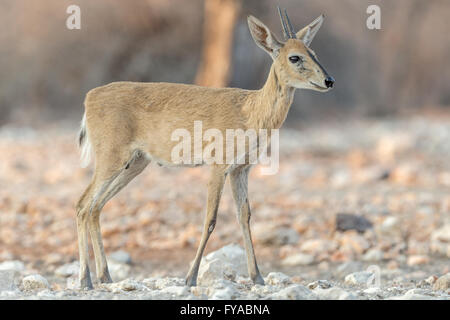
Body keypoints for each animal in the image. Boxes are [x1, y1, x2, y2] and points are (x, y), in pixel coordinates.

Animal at [76, 7, 334, 288]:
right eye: (294, 56)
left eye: (314, 52)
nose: (329, 80)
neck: (250, 111)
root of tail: (89, 97)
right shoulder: (218, 167)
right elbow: (210, 219)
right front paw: (190, 278)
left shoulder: (241, 169)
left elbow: (245, 216)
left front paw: (257, 277)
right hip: (111, 159)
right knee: (82, 205)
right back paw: (85, 280)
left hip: (134, 164)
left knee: (95, 208)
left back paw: (105, 276)